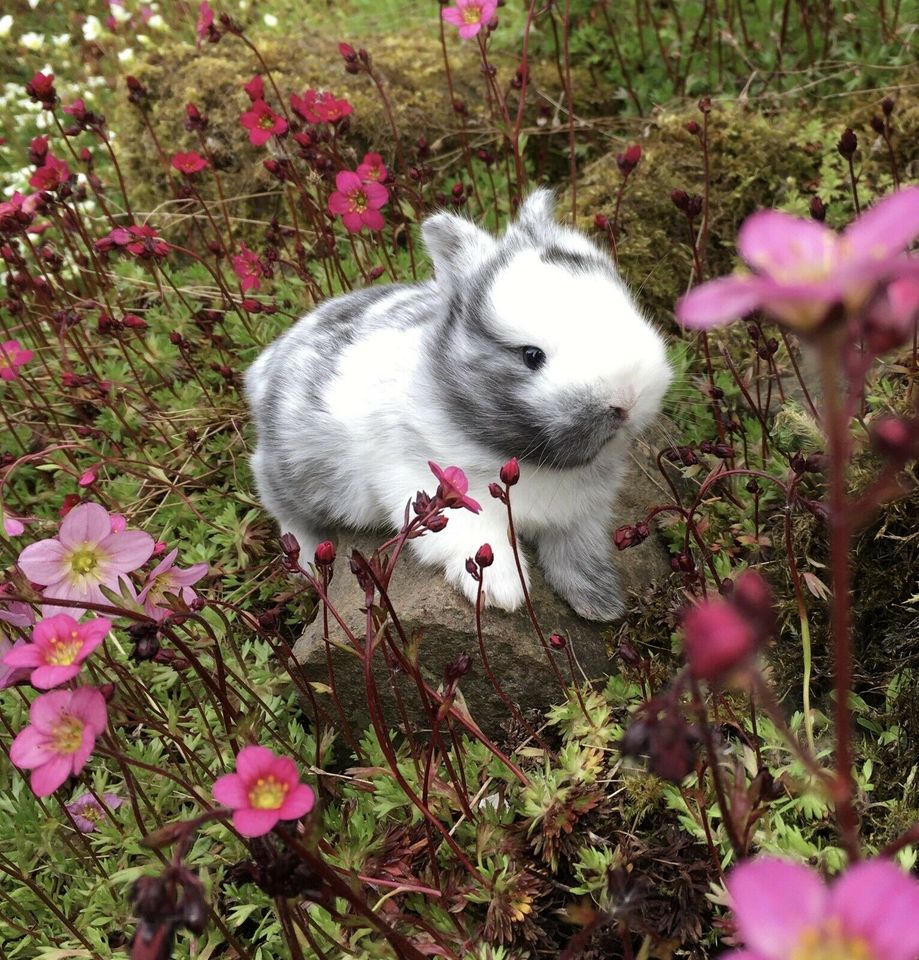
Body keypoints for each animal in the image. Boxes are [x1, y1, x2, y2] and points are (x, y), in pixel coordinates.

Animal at [244, 190, 672, 620]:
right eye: (531, 356)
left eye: (628, 313)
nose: (626, 399)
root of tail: (264, 366)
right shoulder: (437, 491)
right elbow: (481, 543)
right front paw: (503, 594)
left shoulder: (581, 517)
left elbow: (577, 554)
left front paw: (600, 603)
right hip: (291, 475)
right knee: (287, 514)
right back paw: (308, 563)